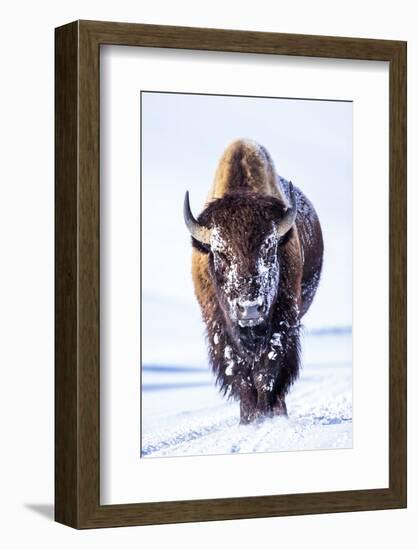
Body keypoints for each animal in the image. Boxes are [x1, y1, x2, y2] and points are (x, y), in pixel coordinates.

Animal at [182, 140, 322, 424]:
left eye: (269, 249)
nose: (250, 309)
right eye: (220, 253)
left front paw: (267, 416)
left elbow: (267, 370)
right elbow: (240, 374)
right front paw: (249, 419)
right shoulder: (219, 328)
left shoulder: (282, 322)